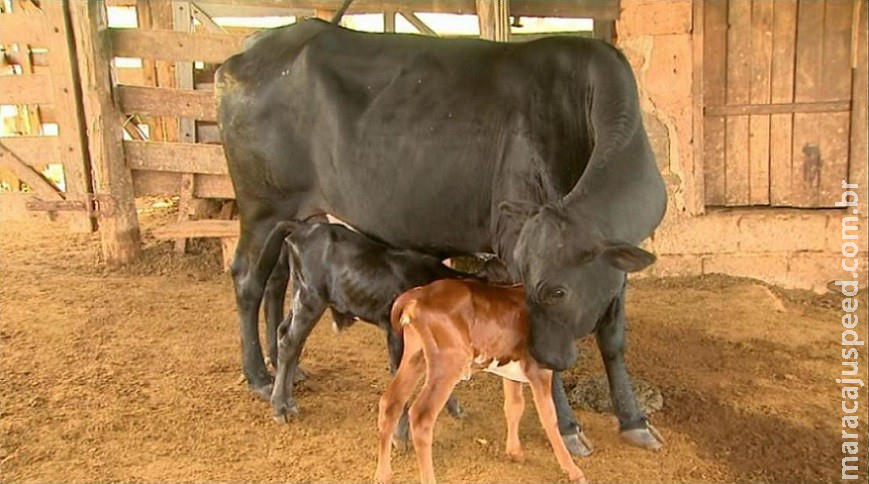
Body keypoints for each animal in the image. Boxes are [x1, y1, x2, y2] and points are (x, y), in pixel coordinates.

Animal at [215, 18, 664, 454]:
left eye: (559, 291)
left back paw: (282, 367)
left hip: (292, 216)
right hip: (262, 207)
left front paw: (635, 421)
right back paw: (259, 377)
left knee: (276, 280)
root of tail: (251, 49)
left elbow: (613, 338)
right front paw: (568, 427)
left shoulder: (615, 266)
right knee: (249, 279)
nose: (544, 355)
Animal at [372, 278, 584, 482]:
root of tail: (420, 293)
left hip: (415, 357)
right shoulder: (540, 371)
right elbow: (549, 417)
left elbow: (514, 407)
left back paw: (383, 475)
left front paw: (514, 452)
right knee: (421, 415)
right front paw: (573, 470)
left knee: (390, 402)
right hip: (448, 364)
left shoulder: (510, 370)